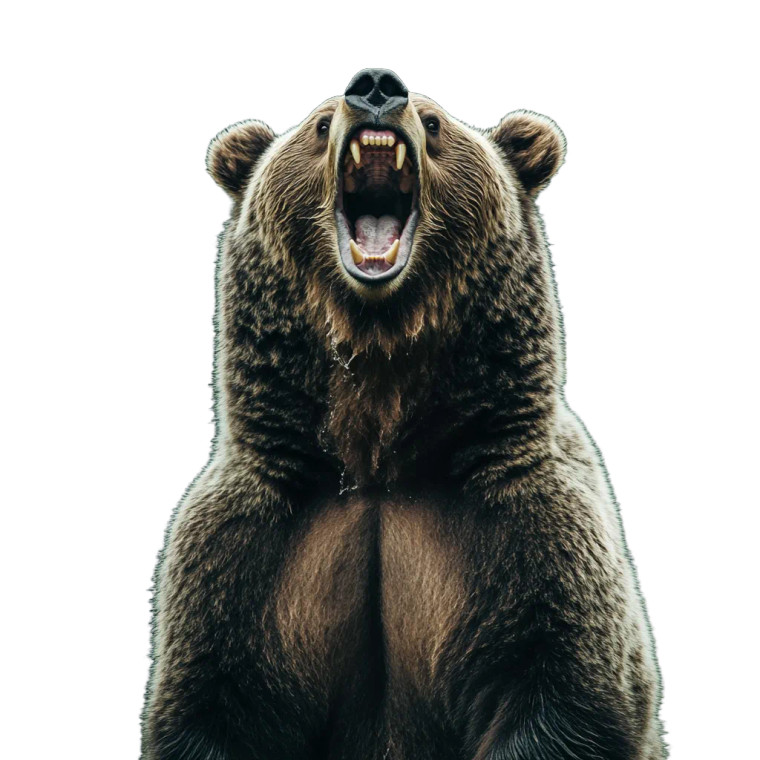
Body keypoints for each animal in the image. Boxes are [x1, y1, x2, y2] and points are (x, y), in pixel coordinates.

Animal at [141, 68, 666, 760]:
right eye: (317, 125)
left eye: (436, 121)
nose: (375, 86)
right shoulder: (248, 550)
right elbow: (212, 701)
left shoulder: (528, 523)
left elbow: (563, 686)